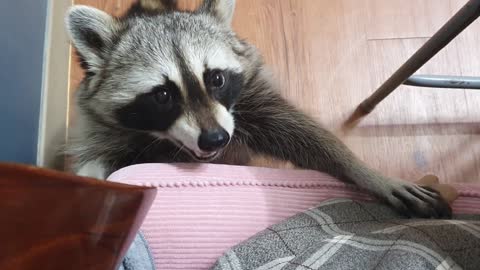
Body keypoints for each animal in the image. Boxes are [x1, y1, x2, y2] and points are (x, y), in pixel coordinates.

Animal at [65, 0, 452, 218]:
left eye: (216, 78)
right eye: (162, 95)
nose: (215, 139)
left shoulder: (251, 100)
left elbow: (304, 134)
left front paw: (368, 172)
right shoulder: (106, 130)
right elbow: (97, 158)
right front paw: (89, 181)